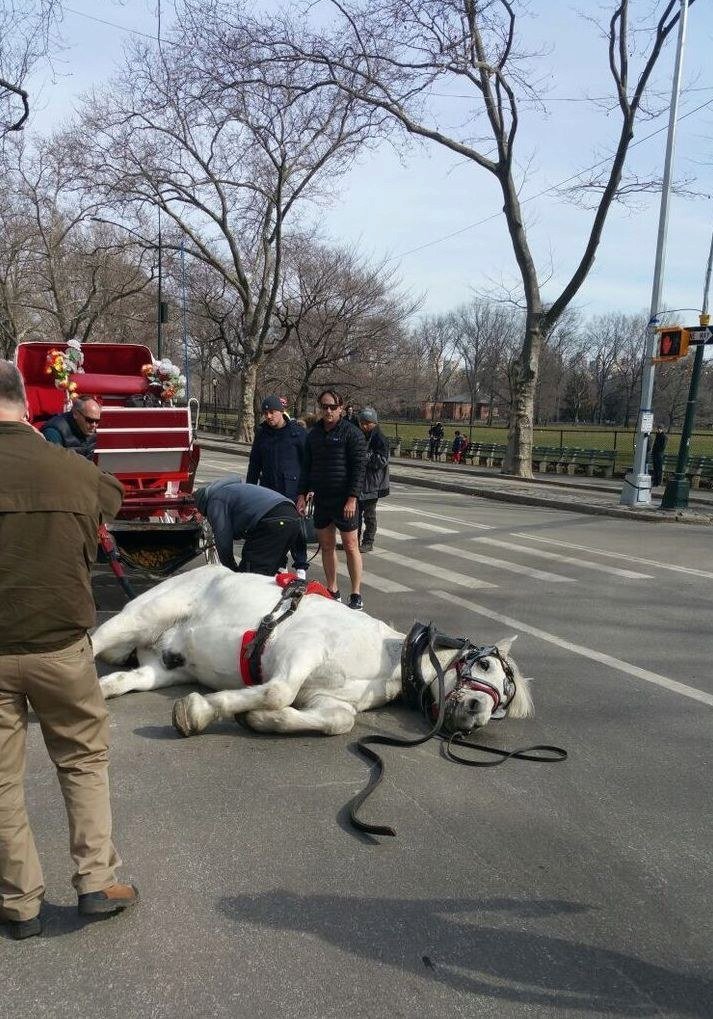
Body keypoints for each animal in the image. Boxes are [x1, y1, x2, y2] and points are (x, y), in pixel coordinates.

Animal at [91, 566, 533, 741]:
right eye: (484, 664)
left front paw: (261, 720)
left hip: (163, 667)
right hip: (141, 617)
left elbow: (339, 721)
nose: (477, 711)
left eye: (501, 704)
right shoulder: (300, 649)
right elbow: (277, 691)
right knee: (93, 641)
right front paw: (200, 710)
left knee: (124, 679)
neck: (384, 659)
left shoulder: (327, 699)